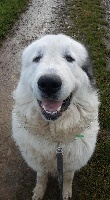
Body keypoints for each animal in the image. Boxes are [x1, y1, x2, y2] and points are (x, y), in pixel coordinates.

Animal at [12, 33, 99, 199]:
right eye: (37, 58)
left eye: (69, 58)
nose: (49, 83)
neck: (55, 138)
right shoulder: (39, 164)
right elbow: (41, 176)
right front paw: (39, 191)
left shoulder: (70, 165)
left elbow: (68, 178)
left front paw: (65, 192)